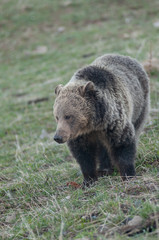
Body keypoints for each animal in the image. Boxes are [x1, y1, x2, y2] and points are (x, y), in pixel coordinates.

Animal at [53, 54, 149, 188]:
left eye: (68, 116)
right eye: (57, 116)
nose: (58, 137)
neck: (93, 124)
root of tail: (126, 57)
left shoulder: (113, 123)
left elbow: (123, 144)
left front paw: (128, 175)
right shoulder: (81, 135)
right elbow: (84, 155)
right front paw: (88, 180)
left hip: (140, 104)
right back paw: (104, 169)